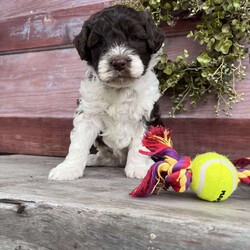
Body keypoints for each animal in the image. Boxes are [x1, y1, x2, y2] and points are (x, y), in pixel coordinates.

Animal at [49, 4, 166, 180]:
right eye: (99, 42)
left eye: (134, 37)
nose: (119, 62)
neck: (120, 88)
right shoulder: (88, 113)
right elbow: (78, 143)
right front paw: (68, 169)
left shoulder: (146, 114)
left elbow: (141, 144)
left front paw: (138, 168)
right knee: (110, 157)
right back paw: (93, 159)